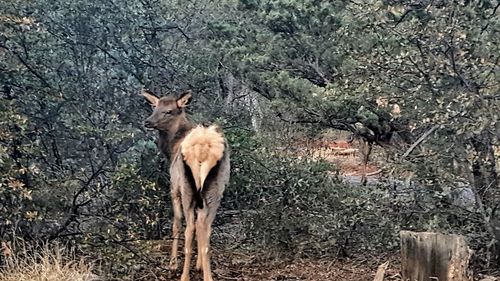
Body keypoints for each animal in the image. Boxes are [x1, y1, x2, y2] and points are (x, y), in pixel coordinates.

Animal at [142, 89, 229, 280]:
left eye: (168, 111)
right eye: (154, 107)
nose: (148, 122)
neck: (171, 149)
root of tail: (203, 148)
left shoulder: (174, 187)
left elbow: (176, 223)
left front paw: (173, 264)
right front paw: (199, 266)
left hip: (187, 188)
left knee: (190, 227)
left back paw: (184, 275)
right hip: (216, 190)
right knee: (205, 225)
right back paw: (207, 274)